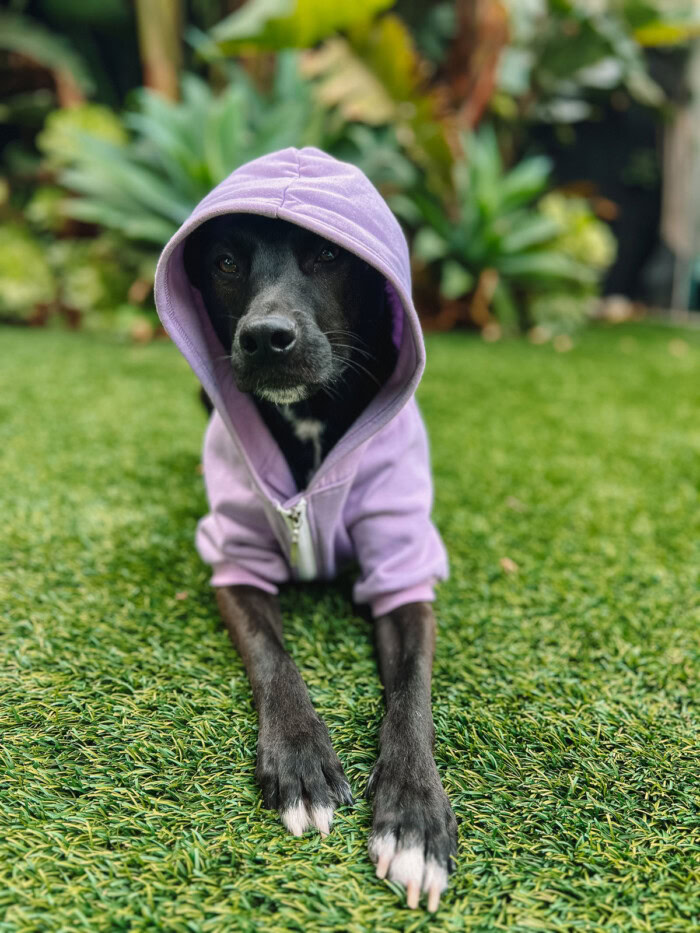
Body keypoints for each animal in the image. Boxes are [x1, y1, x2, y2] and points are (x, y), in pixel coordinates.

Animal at [156, 146, 456, 912]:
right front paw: (300, 762)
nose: (266, 337)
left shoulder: (403, 568)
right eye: (225, 262)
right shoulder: (232, 560)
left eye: (327, 254)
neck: (313, 418)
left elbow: (412, 692)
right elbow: (273, 655)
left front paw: (414, 815)